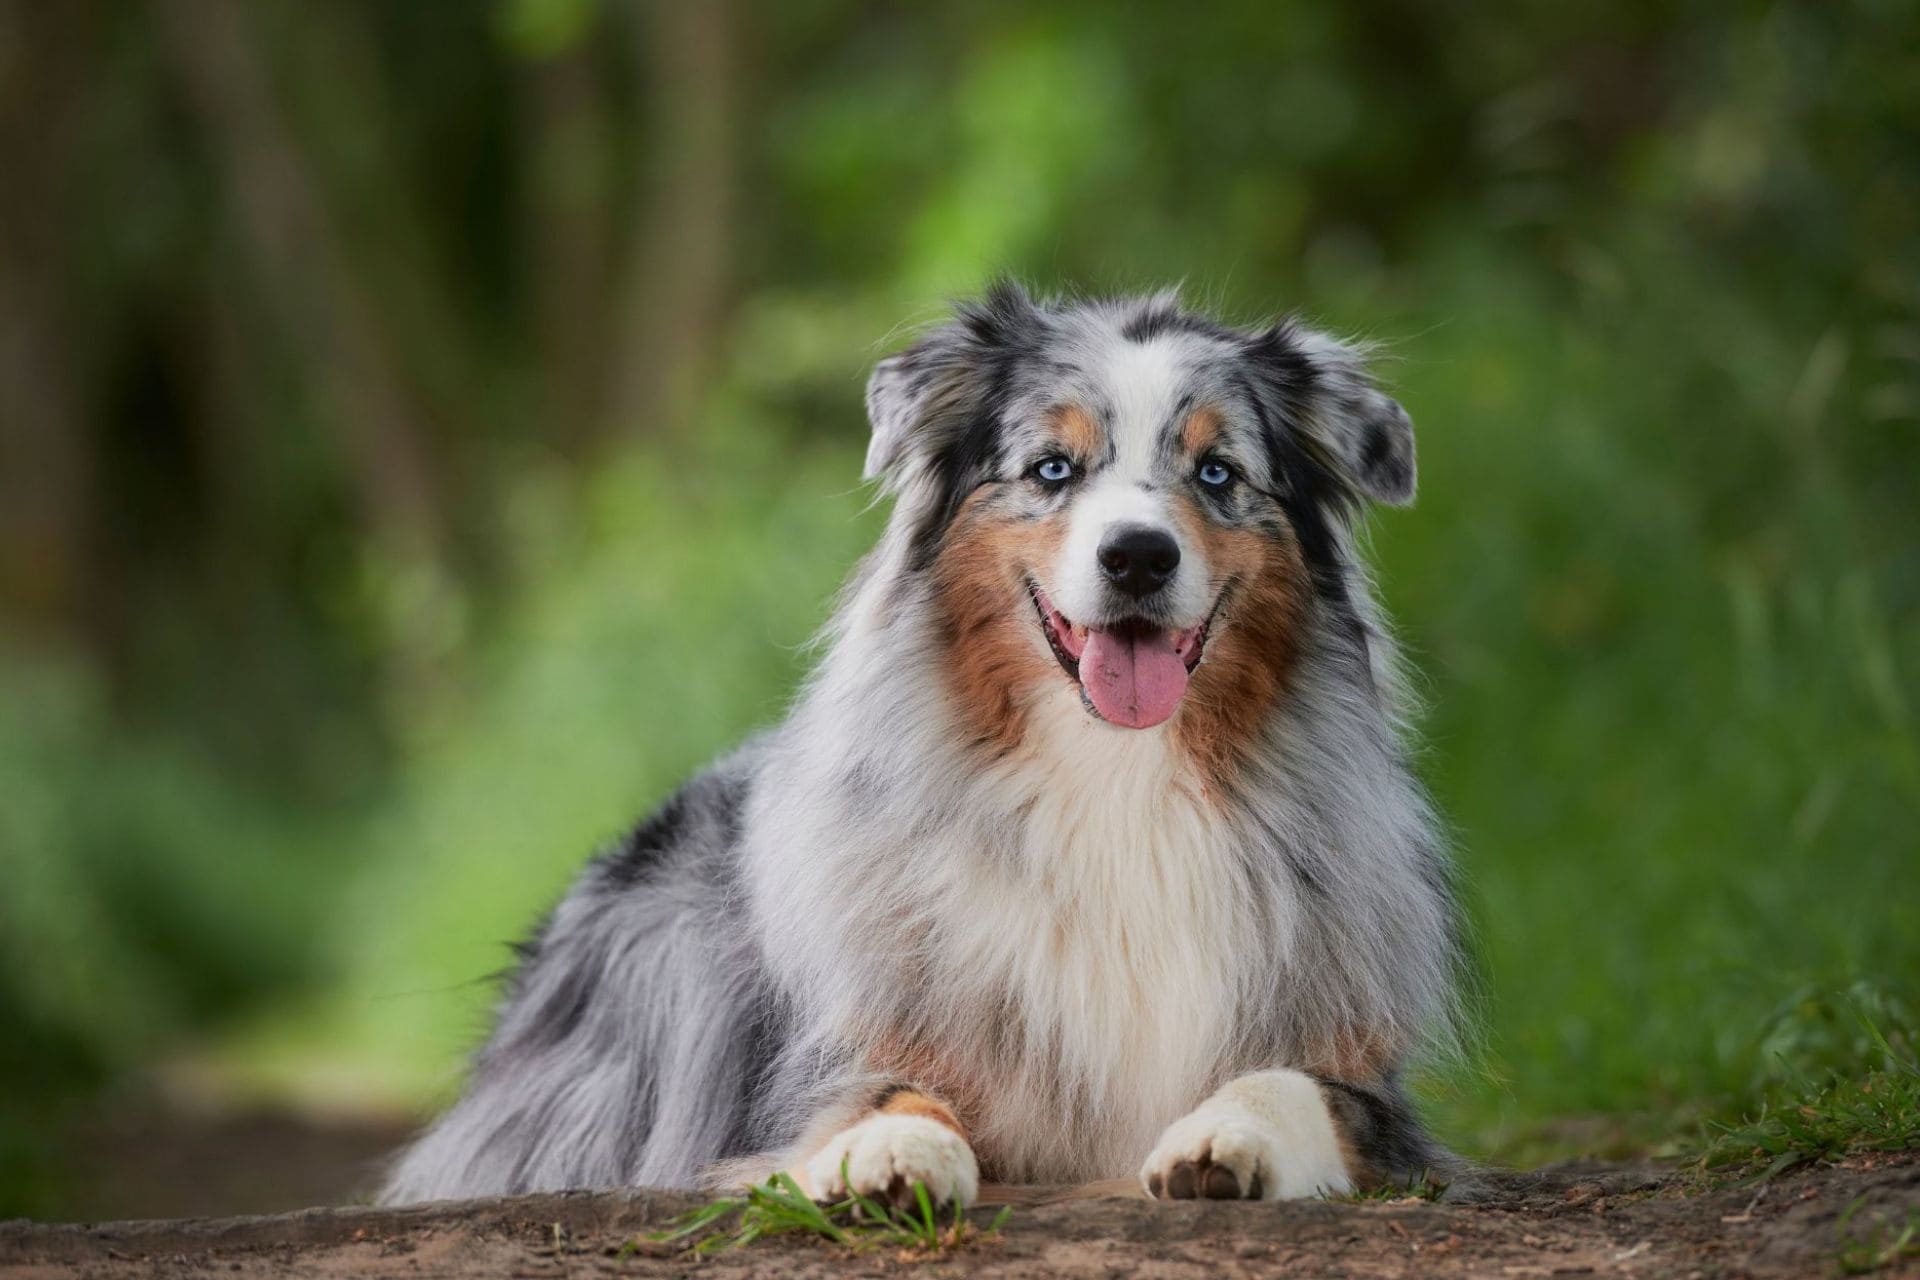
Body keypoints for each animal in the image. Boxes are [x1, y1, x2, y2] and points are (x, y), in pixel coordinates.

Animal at [378, 282, 1466, 1212]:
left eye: (1216, 472)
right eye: (1052, 468)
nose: (1138, 556)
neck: (1113, 776)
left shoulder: (1370, 1084)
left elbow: (1299, 1084)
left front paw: (1223, 1136)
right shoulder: (822, 1063)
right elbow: (882, 1090)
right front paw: (894, 1152)